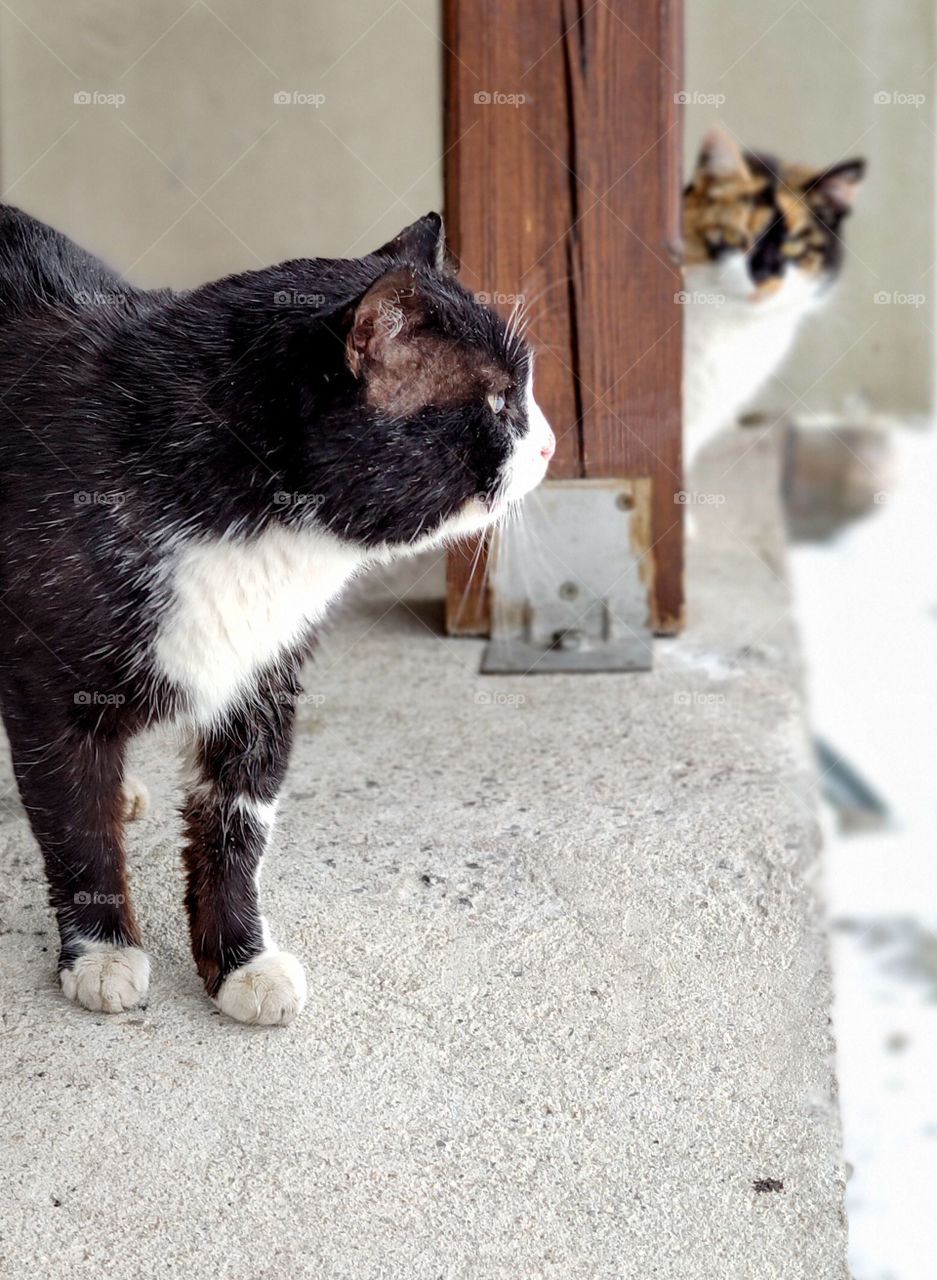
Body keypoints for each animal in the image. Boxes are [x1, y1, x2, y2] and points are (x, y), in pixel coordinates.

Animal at [0, 204, 555, 1024]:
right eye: (494, 403)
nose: (548, 444)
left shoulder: (263, 674)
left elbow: (237, 826)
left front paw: (241, 961)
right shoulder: (47, 680)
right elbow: (74, 823)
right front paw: (101, 953)